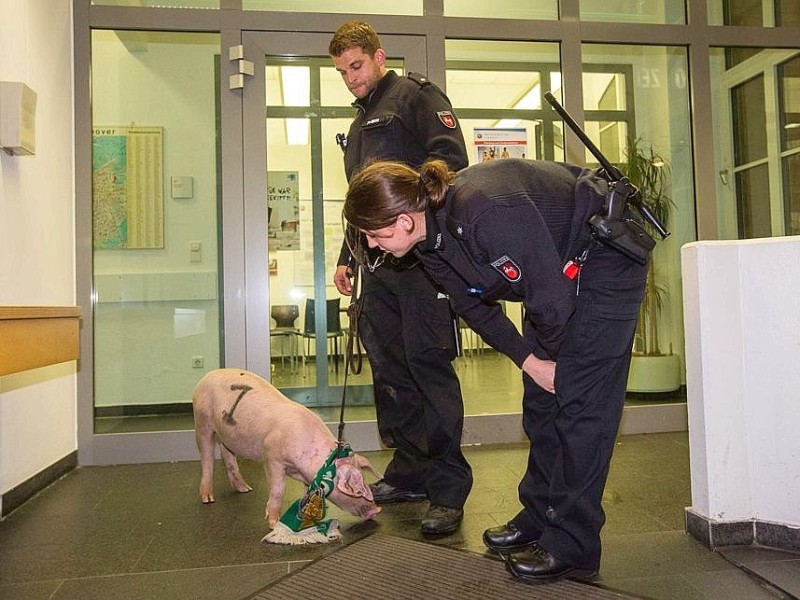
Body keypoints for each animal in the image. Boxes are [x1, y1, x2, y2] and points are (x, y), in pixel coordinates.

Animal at [192, 368, 382, 528]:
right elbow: (278, 490)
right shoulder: (272, 457)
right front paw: (274, 524)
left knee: (226, 453)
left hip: (227, 435)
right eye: (354, 488)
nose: (377, 510)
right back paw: (208, 498)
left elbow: (306, 493)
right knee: (207, 458)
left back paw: (245, 489)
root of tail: (207, 376)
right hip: (202, 421)